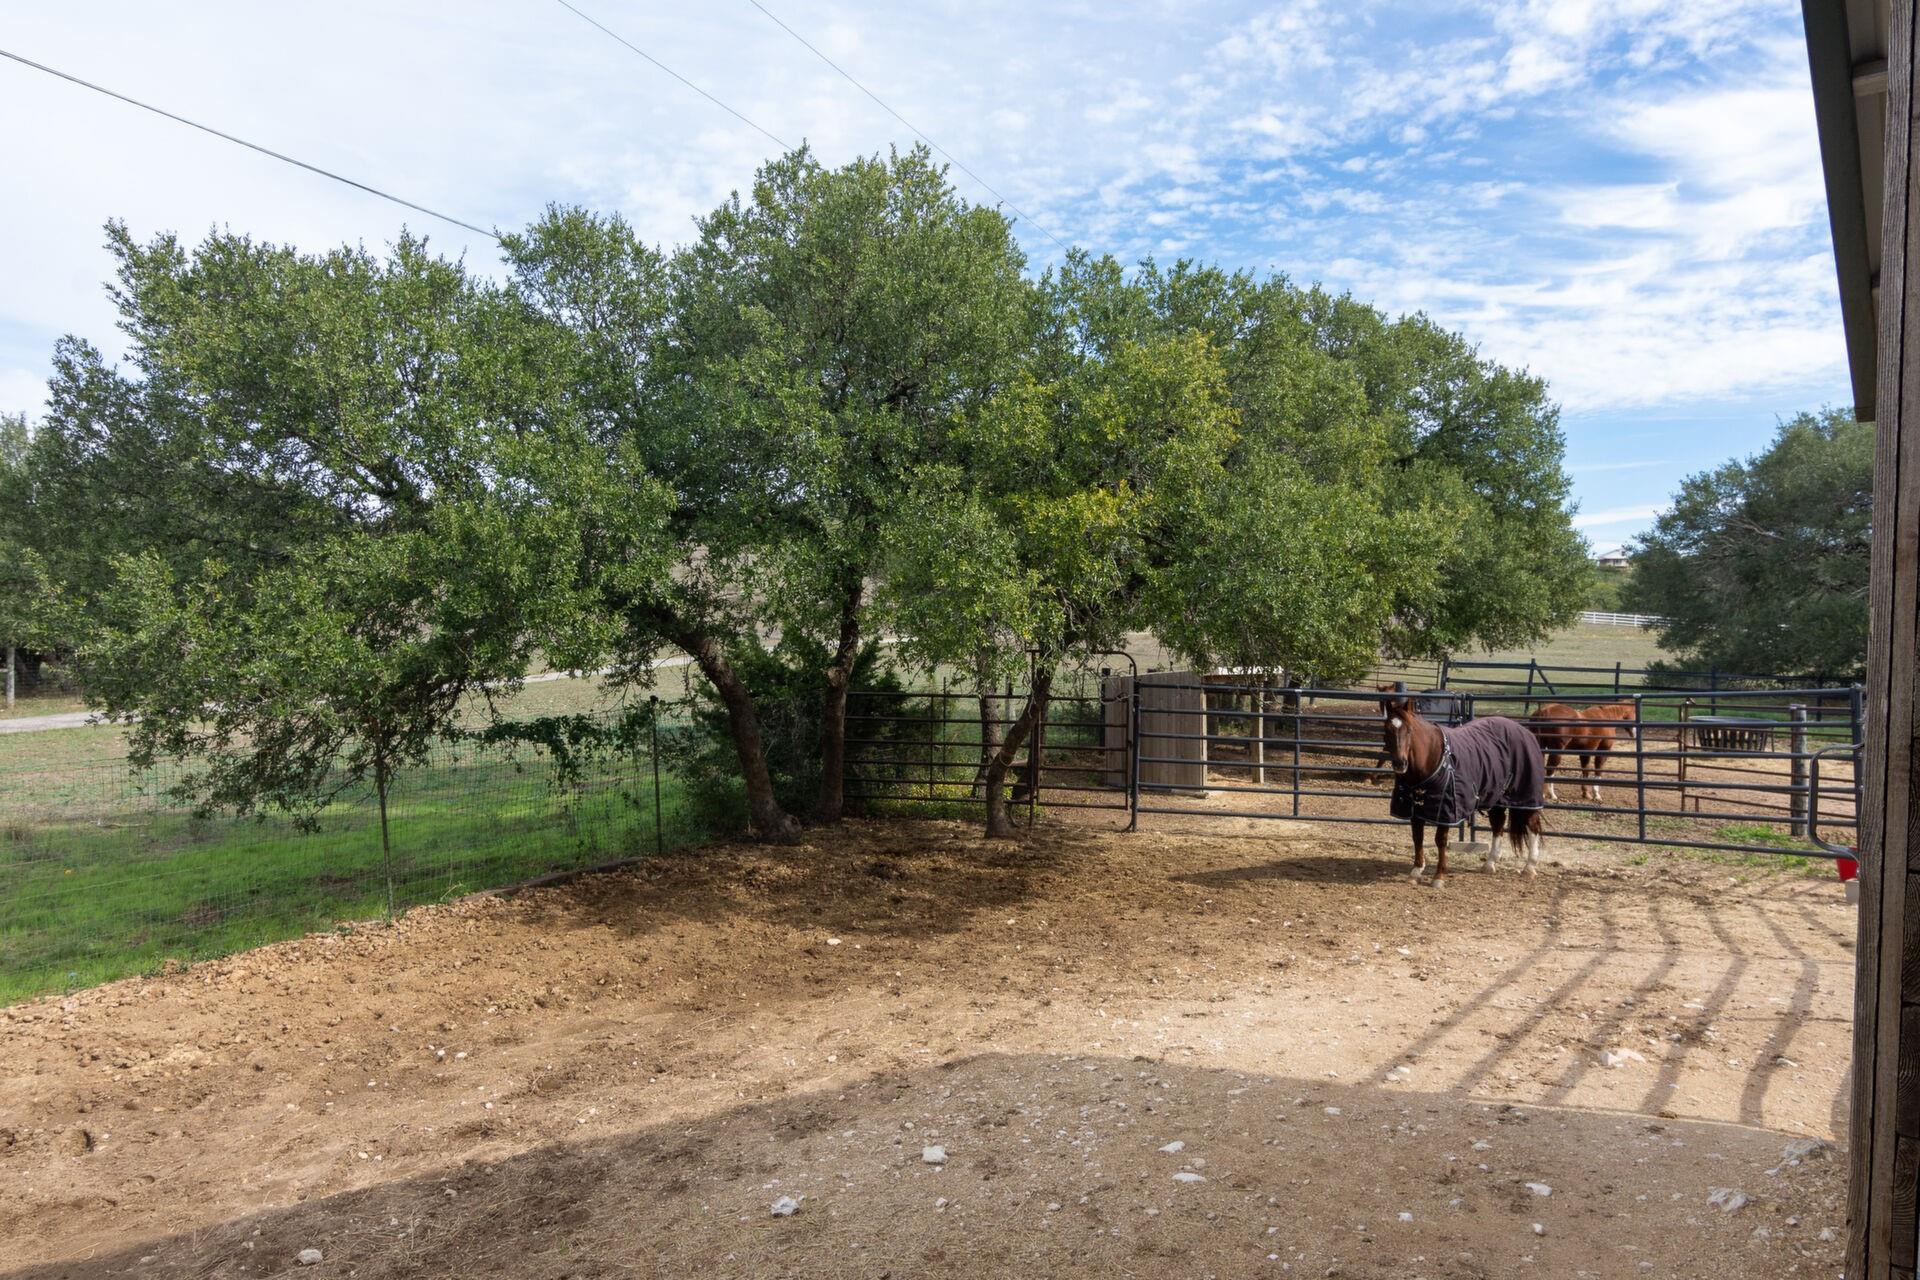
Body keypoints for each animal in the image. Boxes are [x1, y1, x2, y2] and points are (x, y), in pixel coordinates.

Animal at [1382, 690, 1543, 890]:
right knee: (1498, 824)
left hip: (1526, 795)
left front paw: (1439, 877)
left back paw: (1530, 868)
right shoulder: (1415, 809)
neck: (1433, 759)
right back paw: (1490, 863)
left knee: (1533, 825)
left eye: (1410, 730)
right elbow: (1417, 837)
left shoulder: (1446, 810)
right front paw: (1416, 872)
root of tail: (1526, 731)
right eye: (1386, 730)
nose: (1400, 763)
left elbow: (1440, 840)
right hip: (1496, 797)